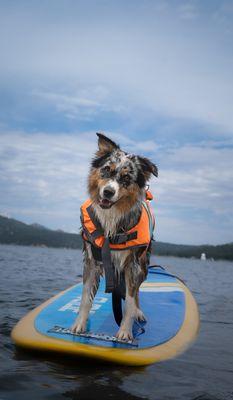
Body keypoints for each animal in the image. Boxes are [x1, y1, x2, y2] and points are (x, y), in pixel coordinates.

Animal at [72, 134, 157, 340]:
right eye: (106, 170)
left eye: (126, 178)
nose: (108, 192)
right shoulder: (92, 260)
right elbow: (85, 297)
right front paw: (79, 324)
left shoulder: (133, 265)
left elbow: (131, 301)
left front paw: (125, 331)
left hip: (144, 264)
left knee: (136, 293)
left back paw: (138, 312)